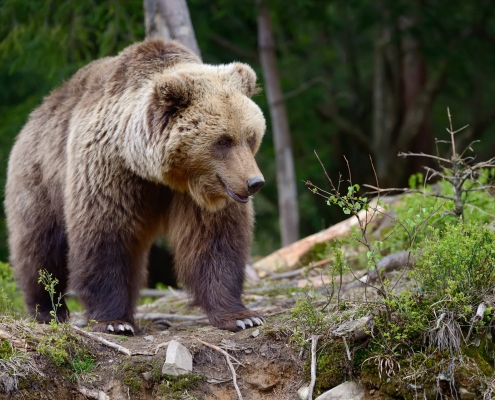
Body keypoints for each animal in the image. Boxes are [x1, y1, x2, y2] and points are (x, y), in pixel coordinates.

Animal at [4, 39, 268, 332]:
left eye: (251, 137)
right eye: (223, 141)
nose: (254, 182)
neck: (161, 173)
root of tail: (34, 114)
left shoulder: (200, 195)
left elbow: (215, 240)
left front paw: (241, 315)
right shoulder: (110, 170)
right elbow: (106, 236)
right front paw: (114, 321)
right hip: (40, 178)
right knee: (40, 246)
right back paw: (47, 310)